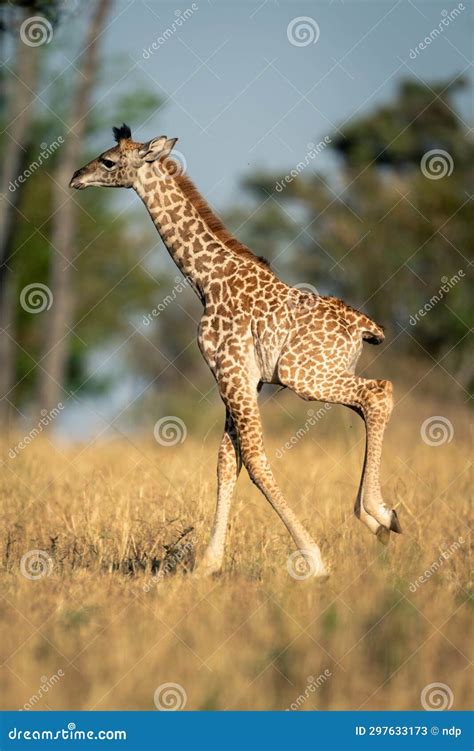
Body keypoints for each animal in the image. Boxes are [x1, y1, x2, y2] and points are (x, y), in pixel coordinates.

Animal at [69, 126, 400, 580]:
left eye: (107, 160)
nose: (75, 178)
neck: (205, 278)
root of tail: (366, 327)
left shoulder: (229, 369)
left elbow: (254, 458)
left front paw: (313, 560)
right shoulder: (245, 377)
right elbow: (227, 461)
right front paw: (209, 563)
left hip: (304, 375)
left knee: (378, 392)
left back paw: (378, 515)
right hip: (323, 372)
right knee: (371, 401)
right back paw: (380, 516)